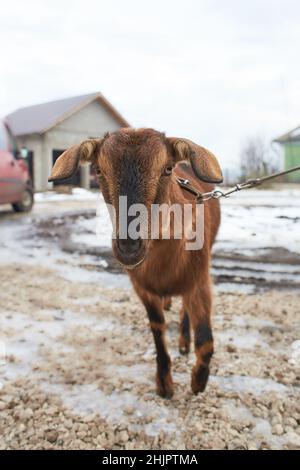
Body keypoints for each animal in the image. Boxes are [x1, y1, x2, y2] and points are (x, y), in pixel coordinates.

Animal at [49, 127, 223, 396]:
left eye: (168, 169)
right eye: (98, 170)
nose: (129, 245)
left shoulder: (200, 280)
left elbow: (206, 342)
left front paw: (198, 382)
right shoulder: (142, 287)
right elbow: (157, 328)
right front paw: (164, 384)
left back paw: (184, 342)